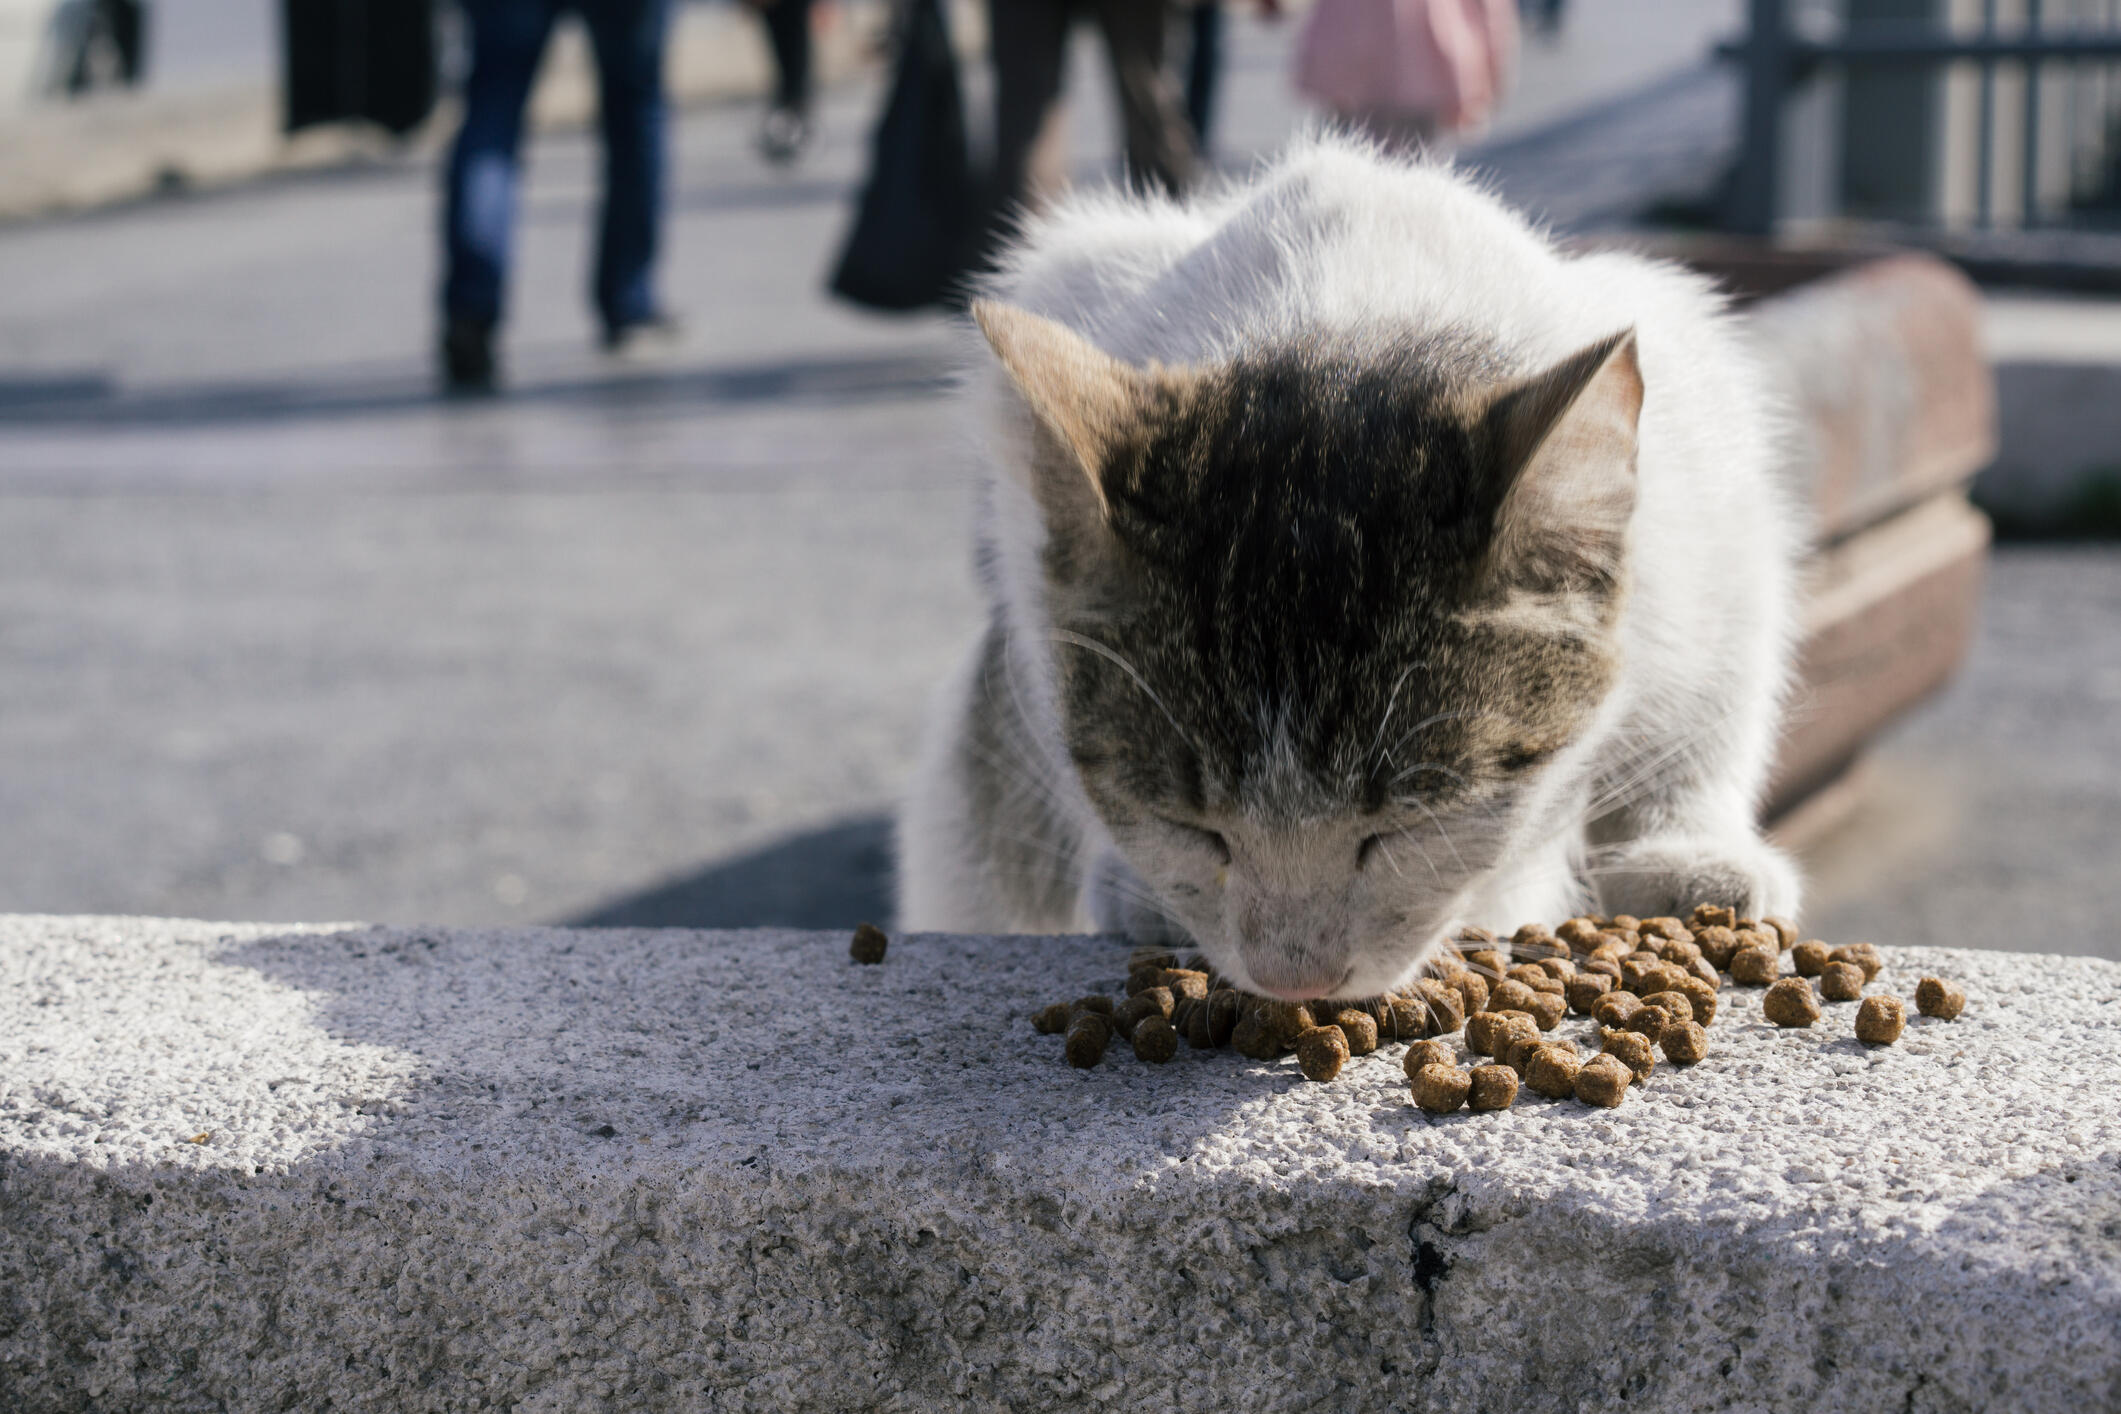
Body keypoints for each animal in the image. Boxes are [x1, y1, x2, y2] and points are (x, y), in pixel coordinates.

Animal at [895, 127, 1807, 1000]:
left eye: (1400, 830)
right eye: (1194, 828)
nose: (1291, 979)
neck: (1344, 310)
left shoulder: (1708, 465)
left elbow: (1715, 697)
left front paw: (1686, 852)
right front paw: (1140, 882)